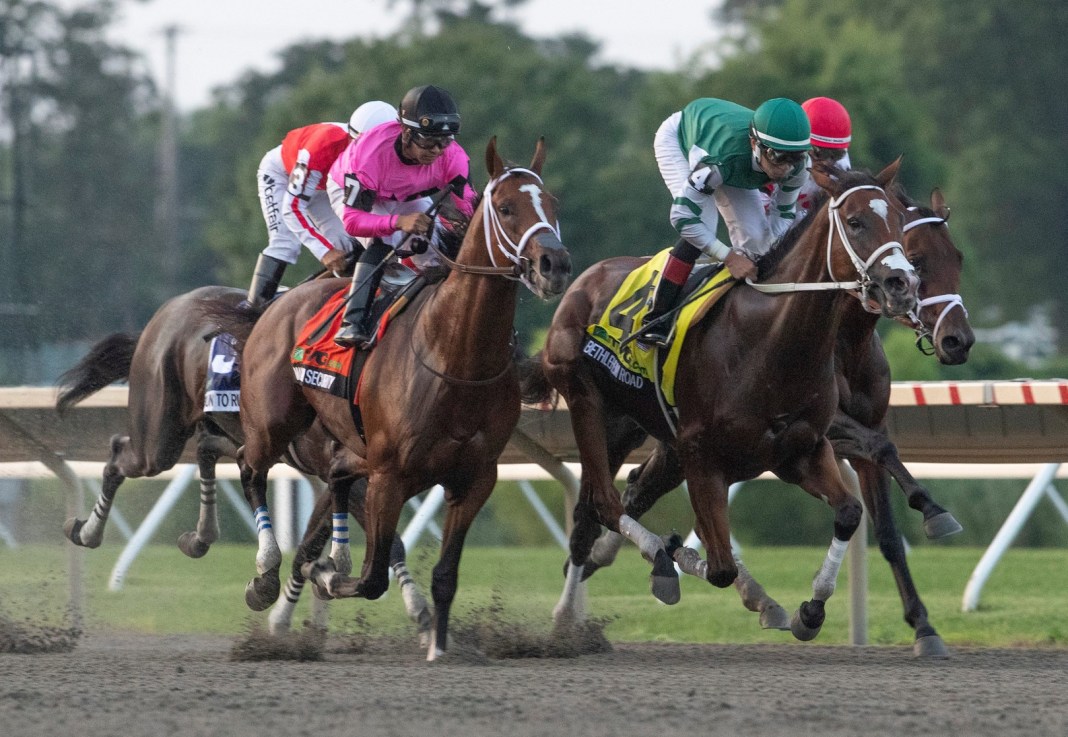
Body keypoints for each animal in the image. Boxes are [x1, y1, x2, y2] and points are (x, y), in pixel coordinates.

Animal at [55, 285, 433, 639]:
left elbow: (323, 541)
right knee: (121, 452)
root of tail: (170, 308)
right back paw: (87, 530)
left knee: (208, 446)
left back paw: (201, 534)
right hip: (159, 437)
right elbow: (363, 539)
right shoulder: (341, 470)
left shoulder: (353, 473)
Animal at [208, 137, 572, 660]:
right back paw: (265, 575)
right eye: (505, 207)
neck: (456, 356)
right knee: (250, 468)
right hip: (272, 425)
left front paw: (439, 646)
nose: (554, 266)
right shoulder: (390, 477)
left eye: (553, 204)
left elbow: (444, 576)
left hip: (345, 444)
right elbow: (371, 577)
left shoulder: (475, 478)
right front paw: (323, 575)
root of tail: (274, 305)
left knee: (335, 477)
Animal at [521, 161, 919, 642]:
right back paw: (583, 604)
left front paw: (810, 611)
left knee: (615, 502)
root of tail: (584, 280)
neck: (772, 341)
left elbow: (848, 512)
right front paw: (676, 556)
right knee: (602, 504)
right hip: (589, 406)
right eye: (857, 222)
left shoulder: (800, 450)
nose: (902, 284)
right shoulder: (701, 455)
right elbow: (719, 566)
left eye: (898, 220)